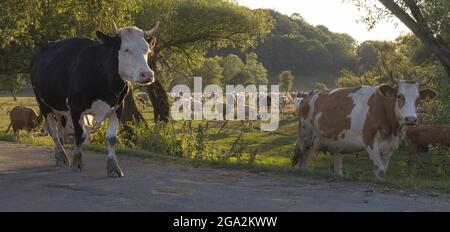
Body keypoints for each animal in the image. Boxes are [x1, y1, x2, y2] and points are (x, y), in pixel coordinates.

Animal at [31, 20, 160, 177]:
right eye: (126, 50)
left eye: (147, 50)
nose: (147, 75)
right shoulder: (75, 108)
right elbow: (80, 135)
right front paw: (77, 162)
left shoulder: (118, 108)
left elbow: (111, 138)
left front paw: (113, 166)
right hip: (43, 103)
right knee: (53, 131)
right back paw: (61, 156)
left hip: (60, 108)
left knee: (60, 131)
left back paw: (59, 156)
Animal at [292, 78, 436, 179]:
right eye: (400, 96)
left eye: (418, 99)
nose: (411, 119)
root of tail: (310, 94)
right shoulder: (370, 142)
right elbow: (380, 171)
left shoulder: (390, 146)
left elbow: (383, 170)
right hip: (306, 135)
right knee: (302, 157)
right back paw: (302, 171)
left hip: (337, 142)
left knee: (336, 162)